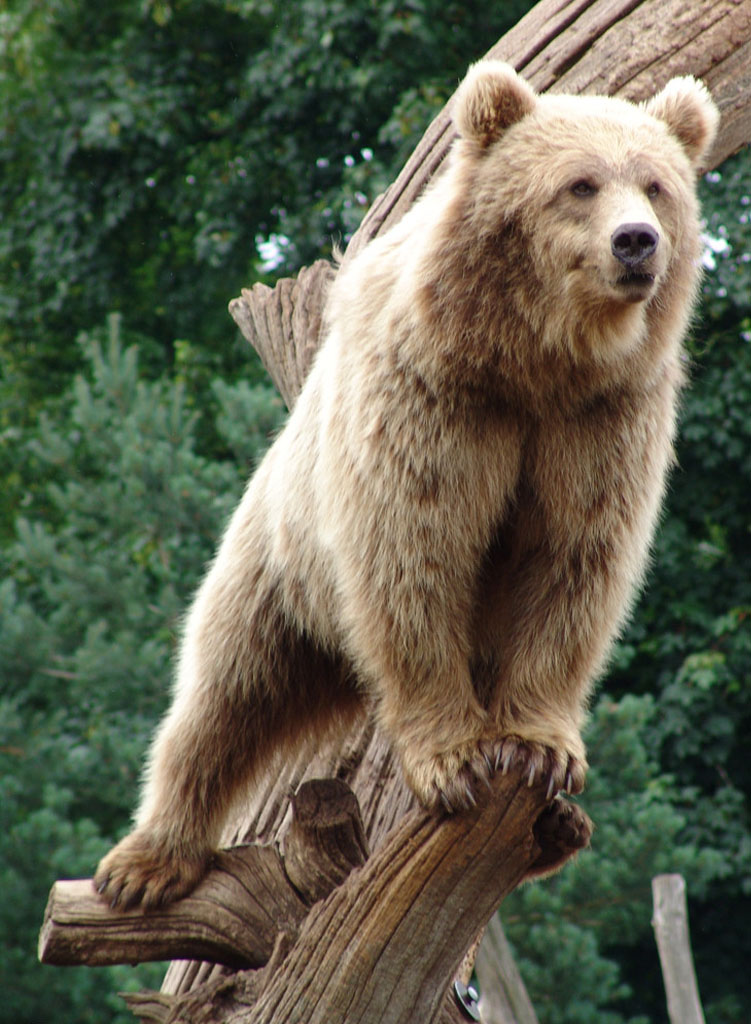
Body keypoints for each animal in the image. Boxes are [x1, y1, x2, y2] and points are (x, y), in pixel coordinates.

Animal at [94, 61, 719, 909]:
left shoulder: (599, 422)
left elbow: (574, 561)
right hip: (282, 556)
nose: (635, 242)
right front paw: (454, 760)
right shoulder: (433, 401)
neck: (534, 359)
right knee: (225, 689)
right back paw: (146, 861)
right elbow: (415, 556)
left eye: (655, 185)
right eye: (580, 184)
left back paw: (555, 831)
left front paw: (541, 747)